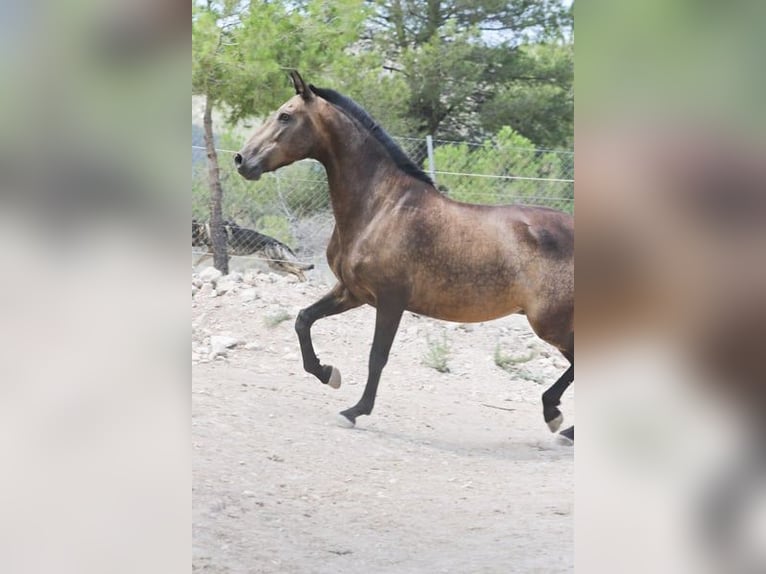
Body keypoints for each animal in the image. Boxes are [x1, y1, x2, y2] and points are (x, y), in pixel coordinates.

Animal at [234, 71, 576, 440]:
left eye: (285, 116)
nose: (241, 160)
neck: (382, 207)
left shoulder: (390, 300)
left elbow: (377, 356)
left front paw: (354, 411)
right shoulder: (352, 292)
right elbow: (303, 320)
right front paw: (328, 373)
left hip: (551, 324)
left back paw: (557, 418)